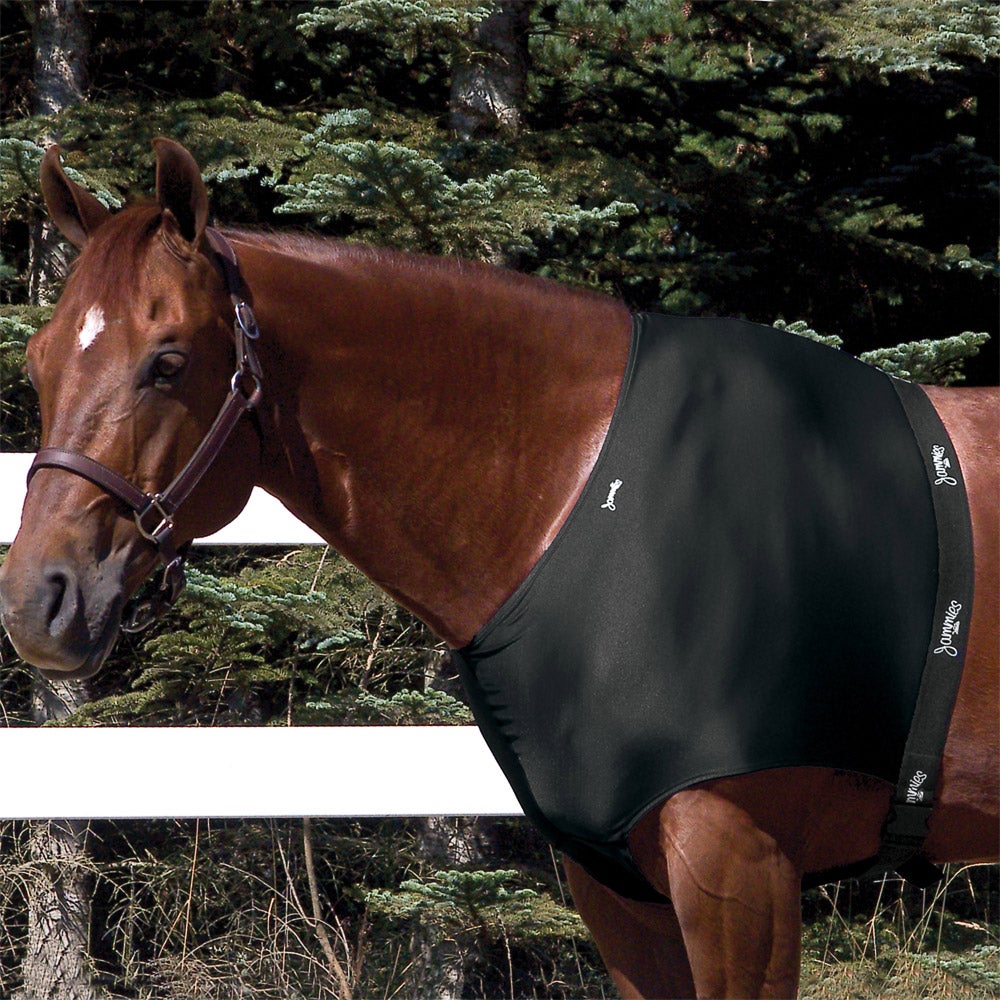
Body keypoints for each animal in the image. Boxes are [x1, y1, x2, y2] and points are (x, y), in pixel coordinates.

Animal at [1, 139, 996, 999]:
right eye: (40, 360)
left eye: (167, 363)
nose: (34, 602)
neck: (587, 496)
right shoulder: (621, 886)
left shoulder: (740, 867)